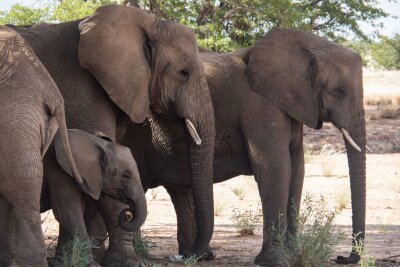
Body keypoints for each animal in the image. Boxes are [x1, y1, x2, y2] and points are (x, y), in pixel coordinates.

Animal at [39, 129, 147, 266]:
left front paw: (63, 264)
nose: (128, 214)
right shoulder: (58, 171)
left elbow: (70, 215)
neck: (96, 143)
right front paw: (91, 265)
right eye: (125, 175)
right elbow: (68, 211)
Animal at [120, 28, 368, 266]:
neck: (308, 45)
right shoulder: (259, 106)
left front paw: (294, 256)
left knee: (179, 192)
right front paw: (274, 261)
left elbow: (297, 169)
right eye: (340, 91)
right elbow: (275, 168)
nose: (342, 258)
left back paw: (195, 255)